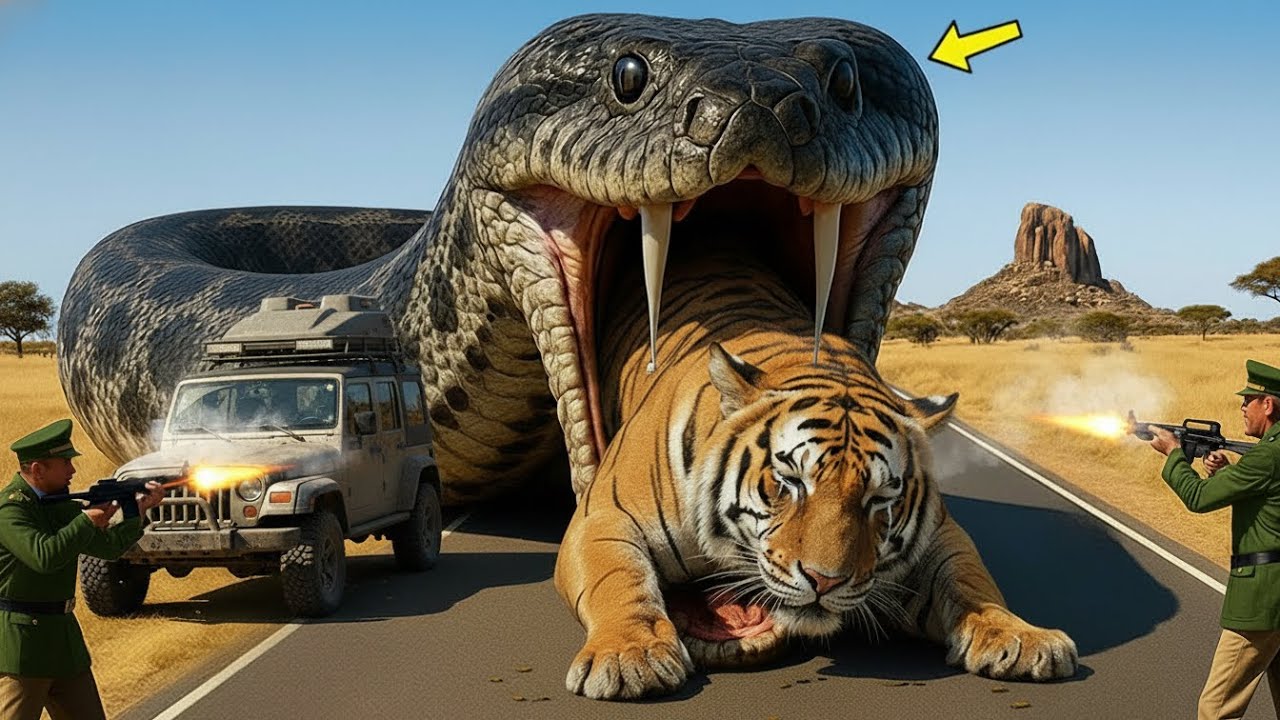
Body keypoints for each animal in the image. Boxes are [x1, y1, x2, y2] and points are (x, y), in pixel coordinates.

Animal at [553, 241, 1078, 700]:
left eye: (878, 500)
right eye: (789, 482)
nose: (825, 582)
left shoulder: (939, 533)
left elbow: (970, 578)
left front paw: (1020, 636)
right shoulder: (600, 517)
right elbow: (616, 578)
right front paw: (630, 655)